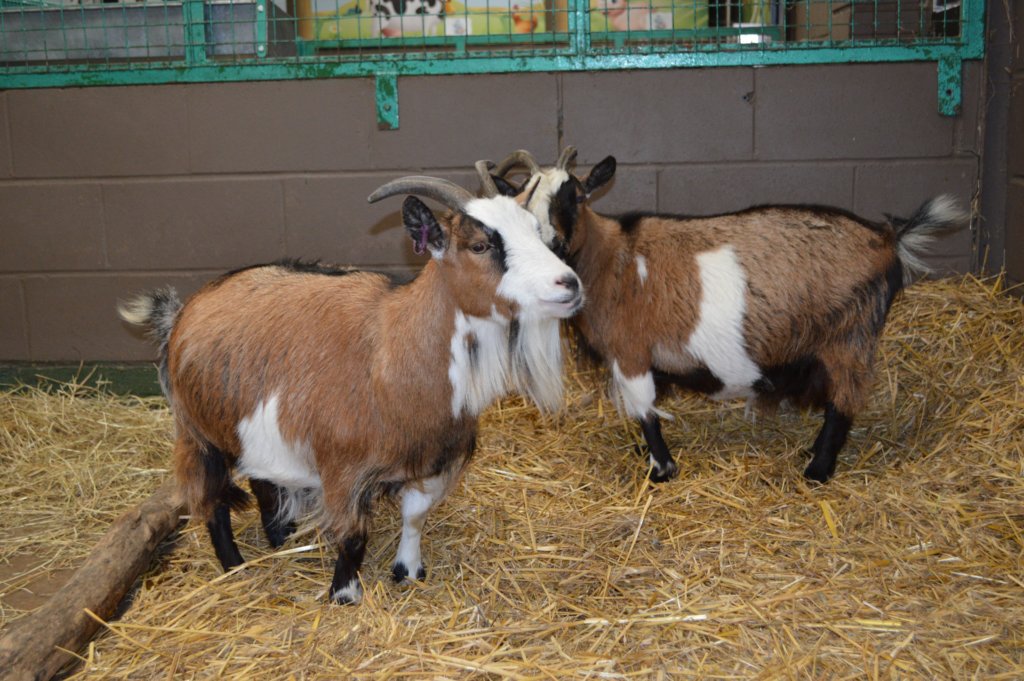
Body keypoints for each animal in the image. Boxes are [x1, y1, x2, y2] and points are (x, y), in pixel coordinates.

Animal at [118, 174, 583, 603]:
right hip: (199, 433)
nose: (569, 284)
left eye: (538, 232)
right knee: (211, 501)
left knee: (262, 480)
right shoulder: (343, 468)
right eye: (480, 246)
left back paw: (281, 537)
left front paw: (408, 572)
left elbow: (415, 517)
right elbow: (353, 535)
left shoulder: (431, 459)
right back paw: (235, 567)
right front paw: (344, 595)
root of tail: (182, 312)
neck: (394, 351)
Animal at [488, 147, 967, 484]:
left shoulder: (631, 353)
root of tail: (888, 237)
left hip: (849, 338)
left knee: (843, 404)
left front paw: (661, 471)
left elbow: (645, 413)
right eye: (521, 204)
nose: (549, 244)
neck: (612, 259)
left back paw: (816, 471)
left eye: (576, 195)